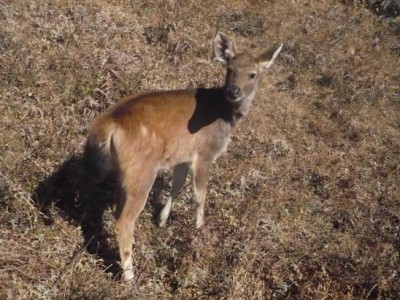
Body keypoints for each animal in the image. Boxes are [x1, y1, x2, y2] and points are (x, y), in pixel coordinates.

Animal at [83, 32, 282, 282]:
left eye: (252, 74)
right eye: (230, 68)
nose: (233, 91)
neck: (225, 116)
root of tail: (110, 122)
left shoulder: (183, 156)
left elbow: (176, 186)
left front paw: (161, 220)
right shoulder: (204, 153)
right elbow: (199, 195)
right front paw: (198, 231)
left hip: (125, 173)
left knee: (116, 210)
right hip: (142, 171)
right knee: (124, 221)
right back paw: (130, 277)